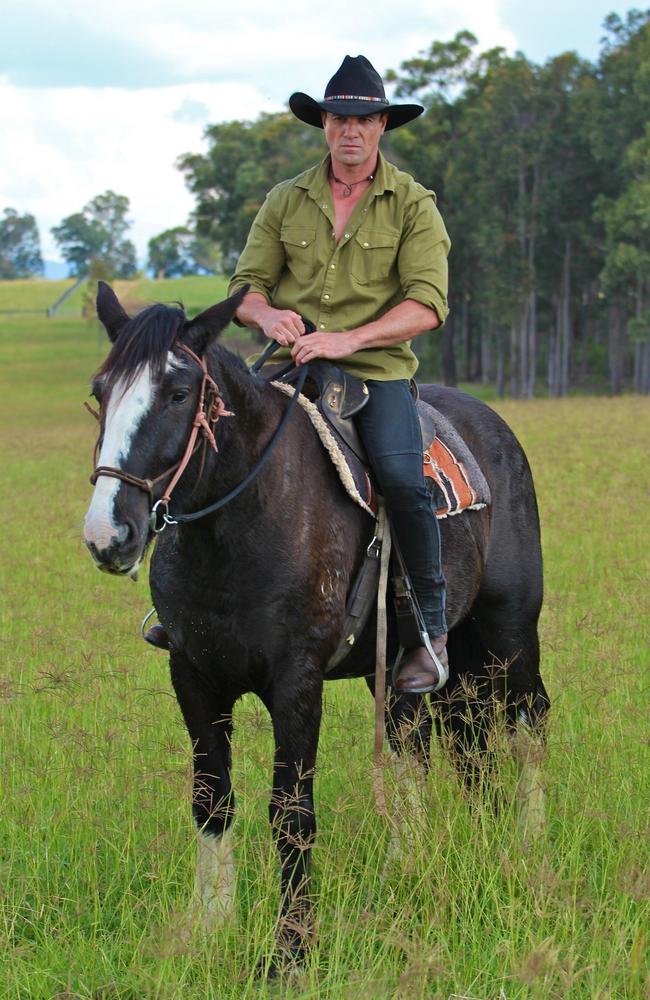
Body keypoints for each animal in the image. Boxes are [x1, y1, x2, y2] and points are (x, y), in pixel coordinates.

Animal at [81, 284, 548, 976]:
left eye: (177, 393)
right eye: (101, 390)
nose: (108, 534)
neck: (242, 523)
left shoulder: (297, 683)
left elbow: (291, 814)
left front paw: (291, 951)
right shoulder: (192, 675)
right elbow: (211, 801)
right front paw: (208, 930)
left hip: (511, 635)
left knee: (527, 724)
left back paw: (528, 847)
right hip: (410, 667)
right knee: (425, 748)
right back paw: (408, 869)